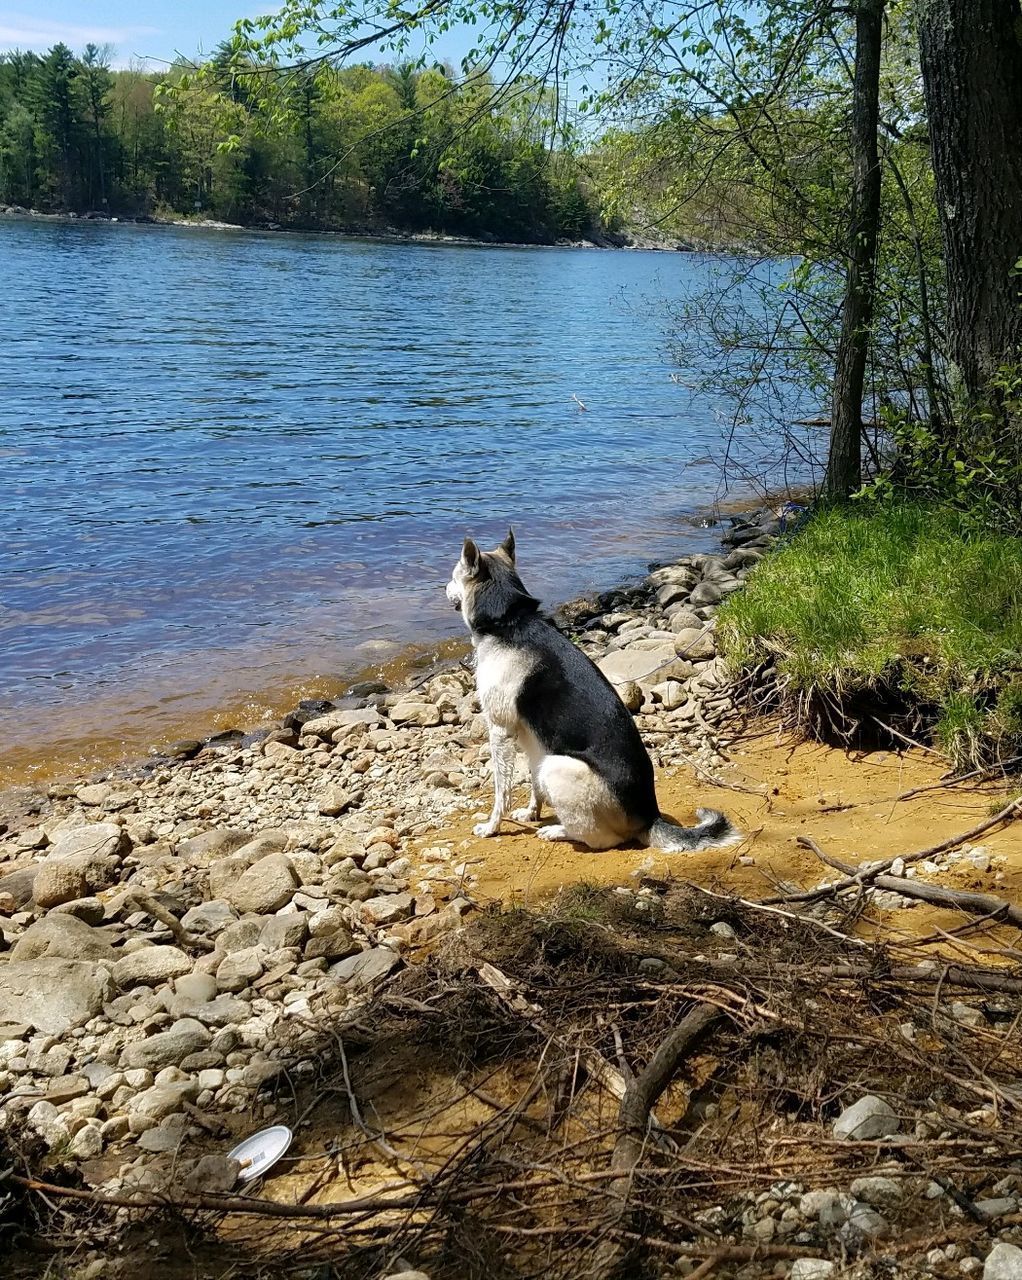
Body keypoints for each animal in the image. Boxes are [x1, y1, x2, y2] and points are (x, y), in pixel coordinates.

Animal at [443, 524, 742, 855]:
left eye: (454, 575)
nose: (444, 588)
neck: (509, 621)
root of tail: (648, 819)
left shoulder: (499, 730)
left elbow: (501, 790)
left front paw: (492, 826)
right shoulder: (529, 737)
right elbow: (532, 784)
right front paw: (532, 812)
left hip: (558, 767)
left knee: (603, 840)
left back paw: (559, 831)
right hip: (549, 759)